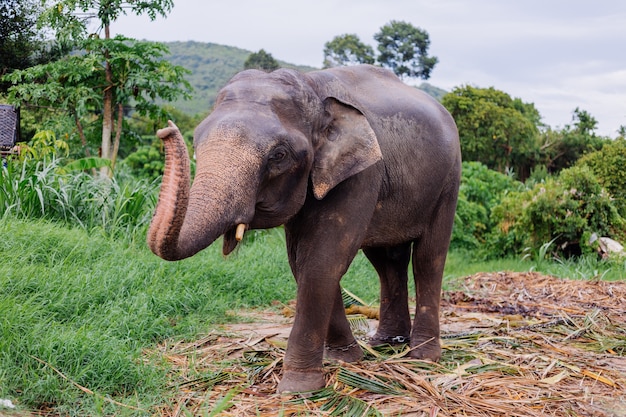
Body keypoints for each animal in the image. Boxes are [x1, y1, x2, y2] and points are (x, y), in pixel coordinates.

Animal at [146, 64, 458, 394]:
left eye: (279, 155)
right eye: (195, 142)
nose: (165, 130)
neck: (312, 86)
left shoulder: (362, 173)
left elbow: (322, 259)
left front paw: (298, 387)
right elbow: (301, 261)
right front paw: (344, 360)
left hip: (449, 181)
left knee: (428, 258)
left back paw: (422, 357)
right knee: (387, 261)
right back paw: (386, 344)